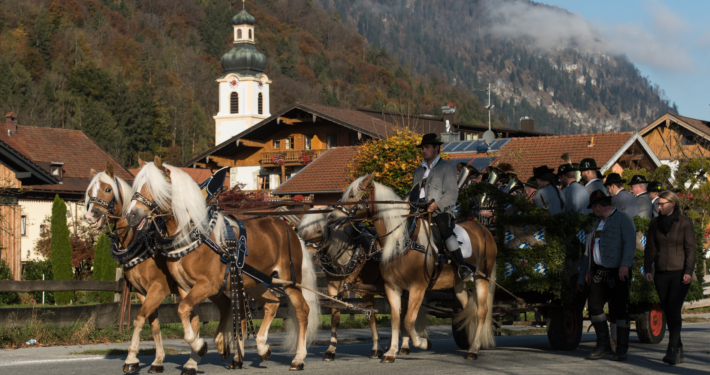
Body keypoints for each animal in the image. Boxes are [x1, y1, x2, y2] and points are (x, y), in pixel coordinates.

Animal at [85, 161, 232, 374]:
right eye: (89, 192)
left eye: (107, 189)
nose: (91, 215)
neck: (138, 239)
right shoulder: (142, 292)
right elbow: (153, 324)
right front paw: (157, 361)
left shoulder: (158, 288)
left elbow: (139, 319)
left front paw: (131, 359)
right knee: (223, 308)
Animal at [126, 156, 320, 374]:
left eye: (154, 186)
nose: (131, 215)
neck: (193, 235)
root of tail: (289, 229)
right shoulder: (185, 288)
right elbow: (188, 316)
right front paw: (197, 352)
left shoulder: (207, 285)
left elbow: (183, 310)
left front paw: (204, 346)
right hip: (256, 283)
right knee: (272, 304)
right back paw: (262, 348)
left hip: (289, 281)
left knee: (302, 311)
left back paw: (298, 358)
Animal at [298, 212, 432, 362]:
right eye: (301, 228)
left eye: (319, 230)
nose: (302, 251)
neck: (347, 258)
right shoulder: (332, 288)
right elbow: (335, 318)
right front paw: (330, 350)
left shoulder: (365, 290)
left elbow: (371, 317)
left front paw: (376, 349)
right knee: (397, 312)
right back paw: (392, 346)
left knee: (402, 313)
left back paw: (404, 346)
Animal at [326, 175, 498, 362]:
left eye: (352, 196)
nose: (331, 216)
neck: (403, 241)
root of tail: (483, 229)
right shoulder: (392, 287)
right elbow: (396, 319)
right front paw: (391, 352)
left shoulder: (417, 287)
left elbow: (408, 320)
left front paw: (422, 343)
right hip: (458, 284)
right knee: (468, 309)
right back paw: (472, 343)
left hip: (482, 278)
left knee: (481, 312)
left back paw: (474, 349)